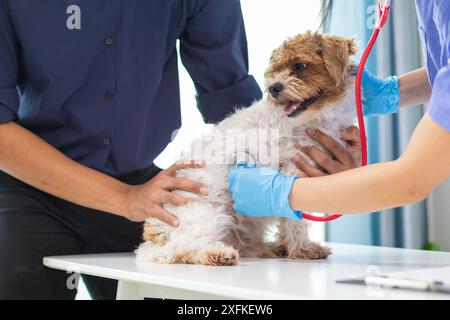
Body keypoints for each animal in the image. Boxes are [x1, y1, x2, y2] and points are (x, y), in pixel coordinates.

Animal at [135, 32, 356, 266]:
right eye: (275, 70)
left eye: (299, 65)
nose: (273, 88)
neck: (312, 119)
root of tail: (154, 237)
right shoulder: (292, 175)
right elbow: (294, 220)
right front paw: (302, 248)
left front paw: (291, 247)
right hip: (210, 214)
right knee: (182, 249)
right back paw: (216, 253)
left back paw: (271, 248)